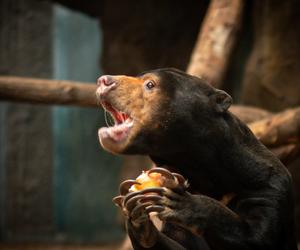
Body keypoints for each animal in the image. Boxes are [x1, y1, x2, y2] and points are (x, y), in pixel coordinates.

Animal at [95, 68, 296, 250]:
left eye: (150, 84)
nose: (104, 80)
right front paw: (135, 213)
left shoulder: (266, 184)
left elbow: (258, 236)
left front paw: (177, 202)